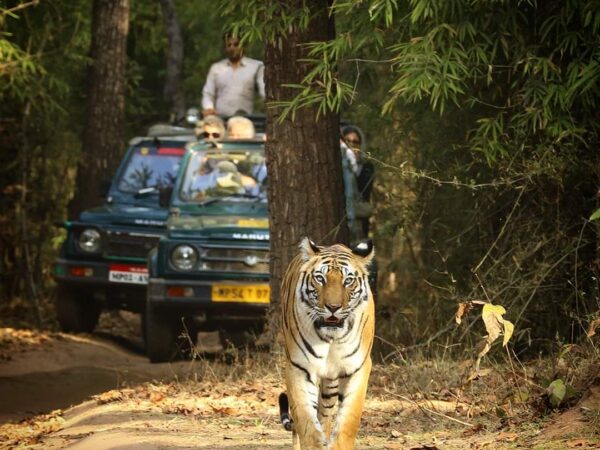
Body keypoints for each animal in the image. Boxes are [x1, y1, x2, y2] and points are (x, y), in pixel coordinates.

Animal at [278, 237, 372, 448]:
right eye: (320, 279)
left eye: (348, 280)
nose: (333, 307)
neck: (331, 338)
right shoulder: (299, 367)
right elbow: (306, 422)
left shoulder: (358, 367)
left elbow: (348, 421)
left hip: (330, 384)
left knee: (325, 415)